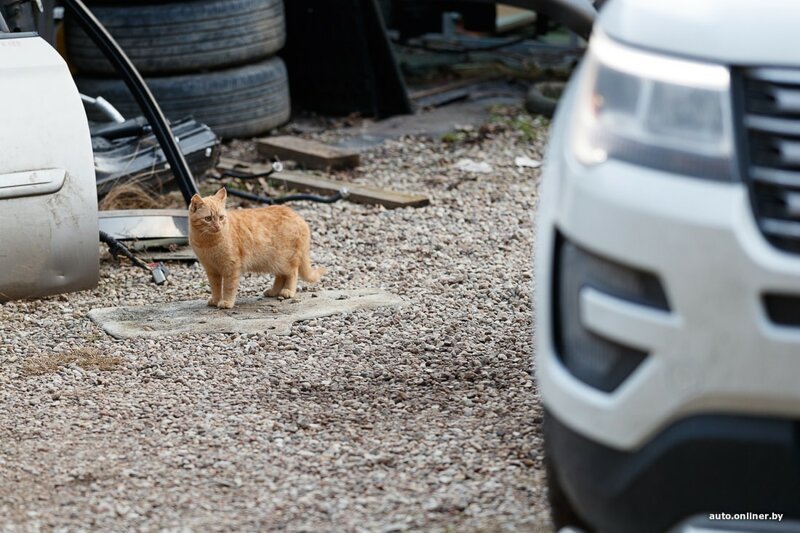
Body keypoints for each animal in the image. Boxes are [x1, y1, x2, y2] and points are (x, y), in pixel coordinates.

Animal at [188, 189, 324, 310]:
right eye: (208, 219)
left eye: (221, 217)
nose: (217, 226)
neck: (207, 243)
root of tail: (299, 217)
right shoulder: (211, 270)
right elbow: (215, 287)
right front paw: (216, 300)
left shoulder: (231, 268)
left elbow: (228, 287)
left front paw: (226, 302)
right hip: (275, 262)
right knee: (281, 276)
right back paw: (273, 291)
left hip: (285, 259)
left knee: (292, 273)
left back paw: (288, 290)